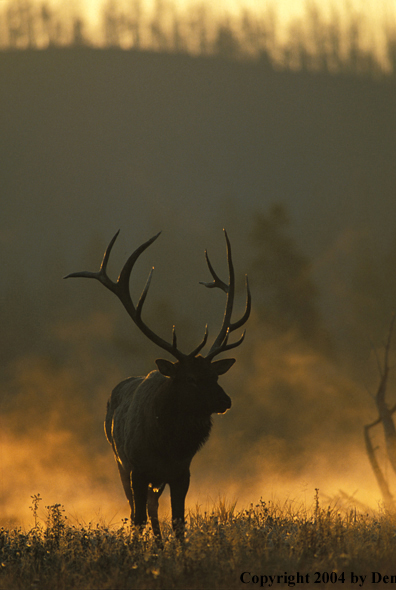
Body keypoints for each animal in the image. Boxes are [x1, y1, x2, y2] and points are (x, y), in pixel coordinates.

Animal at [65, 231, 251, 540]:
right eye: (191, 378)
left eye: (215, 375)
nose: (226, 401)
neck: (167, 445)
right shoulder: (137, 470)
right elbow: (137, 518)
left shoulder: (182, 473)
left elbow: (178, 521)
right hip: (119, 462)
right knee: (138, 510)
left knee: (153, 507)